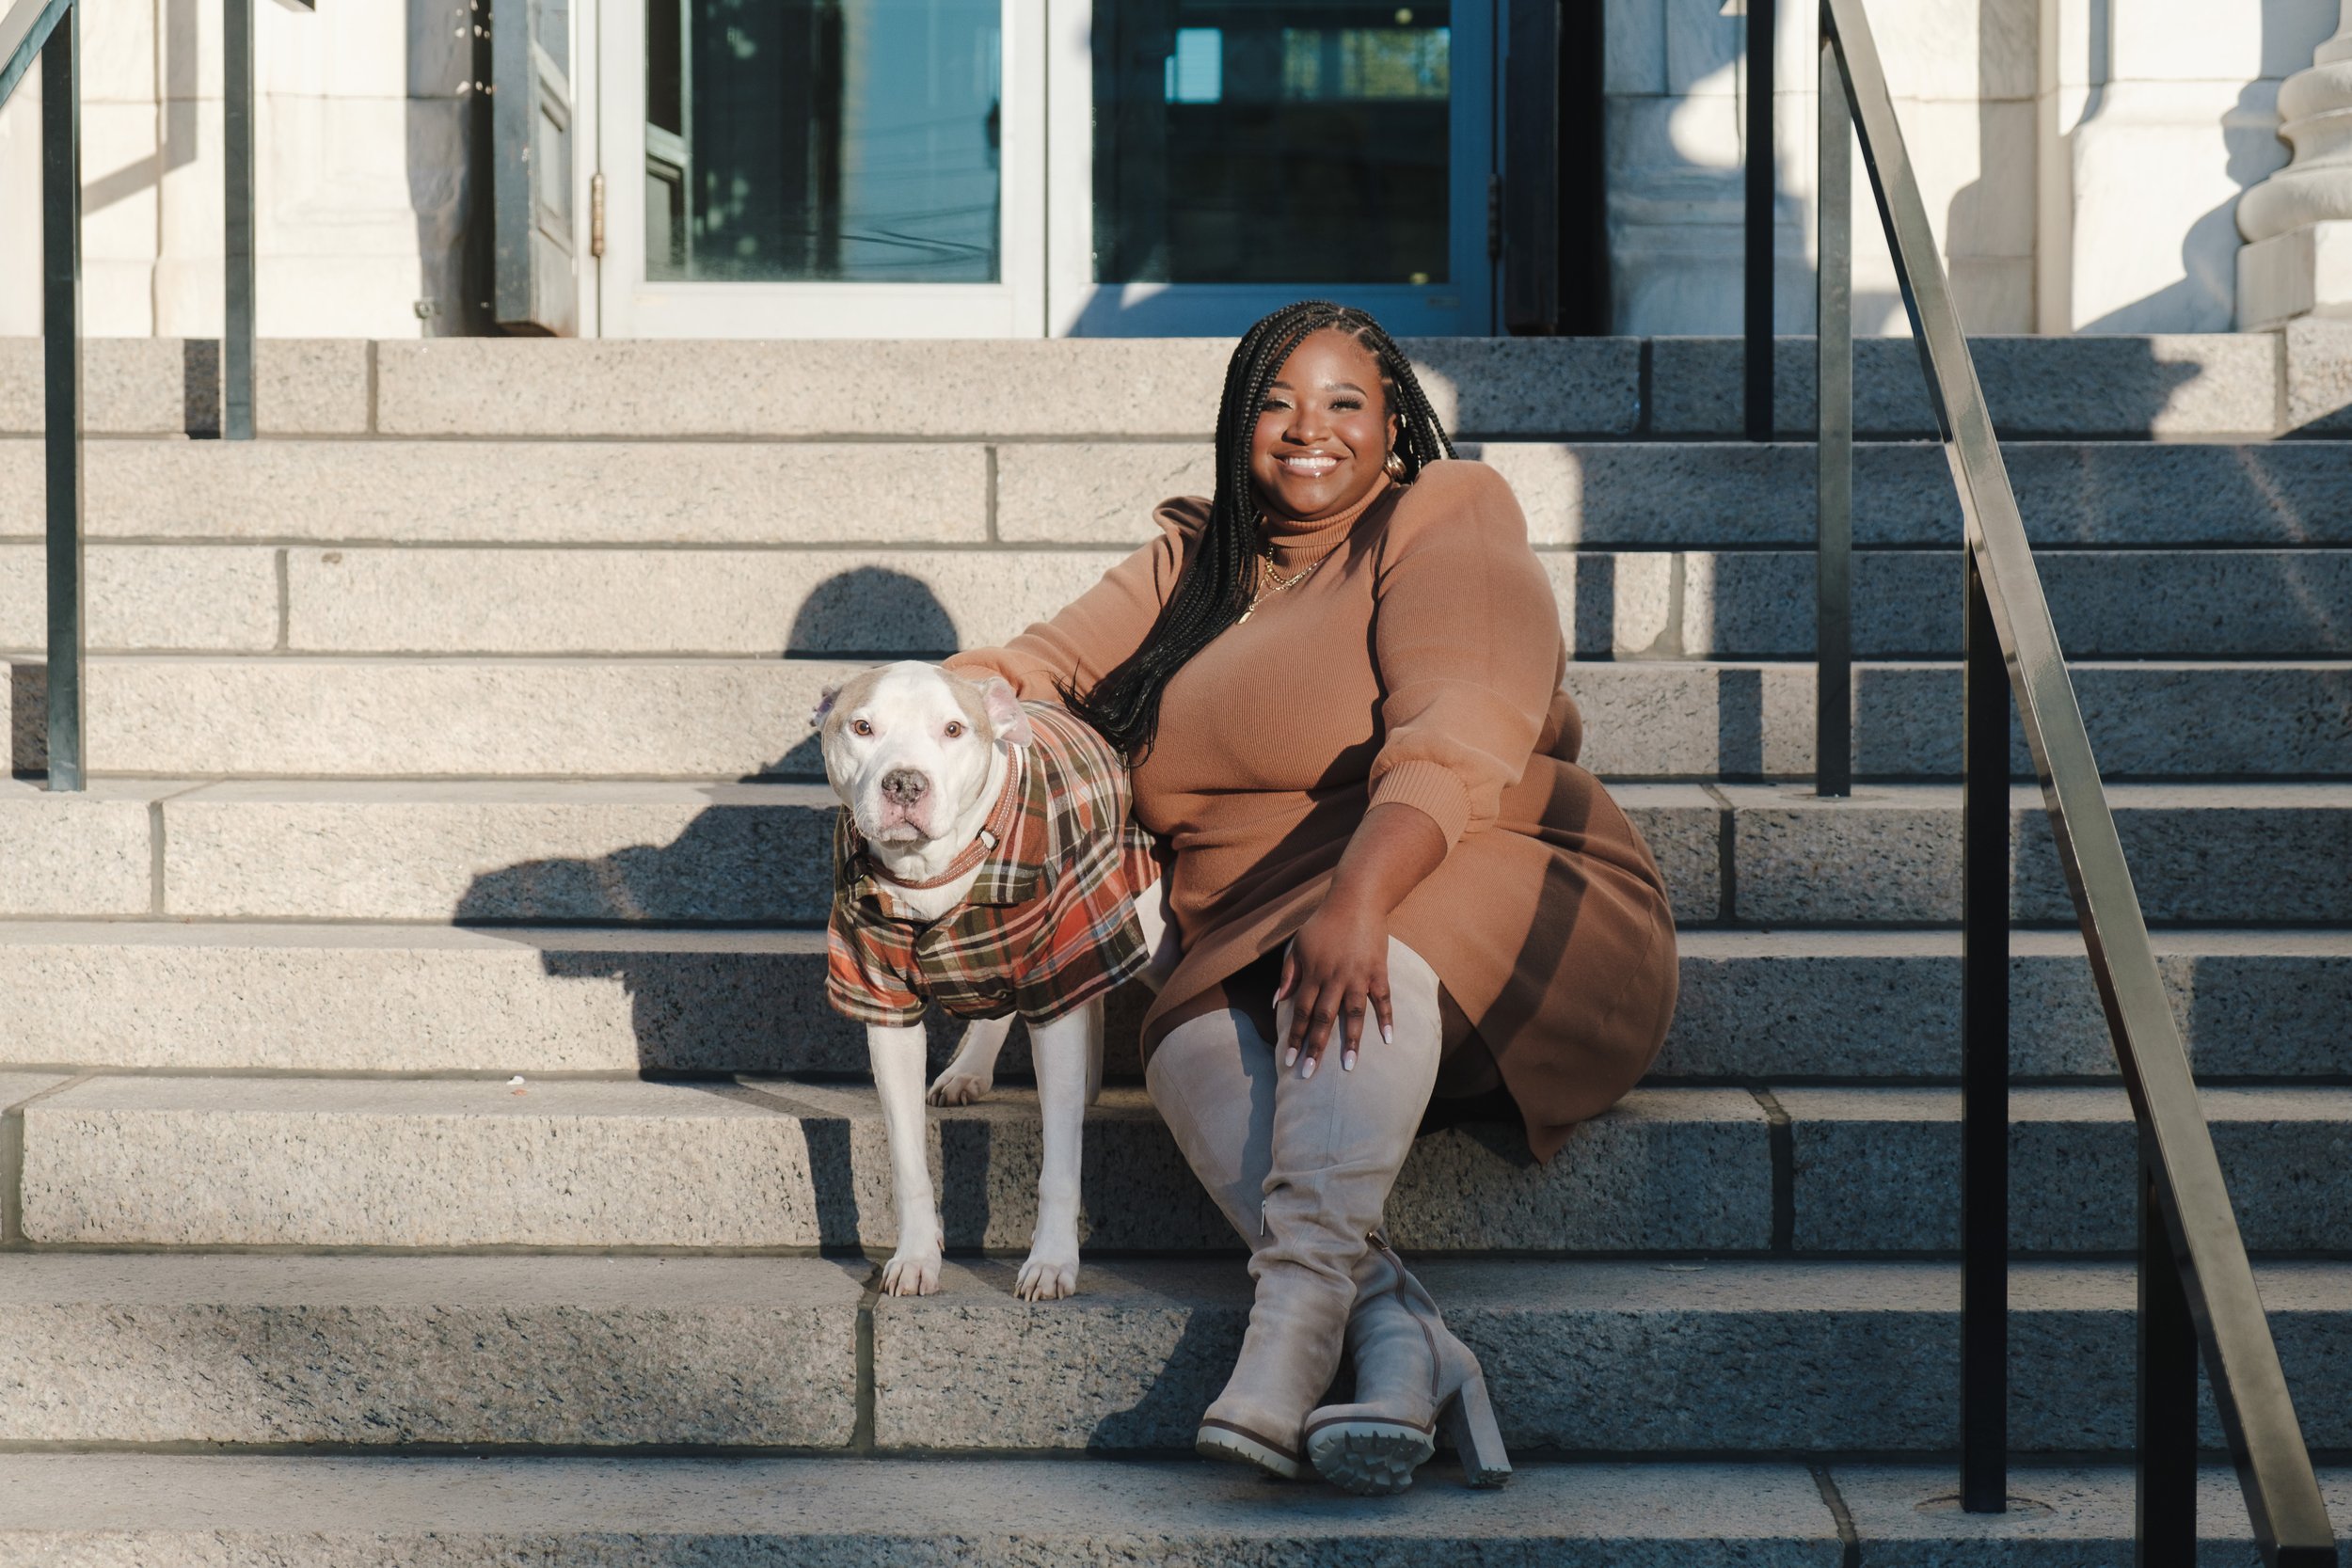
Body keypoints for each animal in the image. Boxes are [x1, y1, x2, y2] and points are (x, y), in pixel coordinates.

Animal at [814, 657, 1171, 1297]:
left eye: (953, 729)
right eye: (861, 727)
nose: (905, 783)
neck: (933, 871)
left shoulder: (1057, 968)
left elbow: (1060, 1163)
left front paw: (1052, 1262)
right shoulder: (882, 1006)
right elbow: (907, 1156)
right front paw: (916, 1255)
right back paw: (971, 1072)